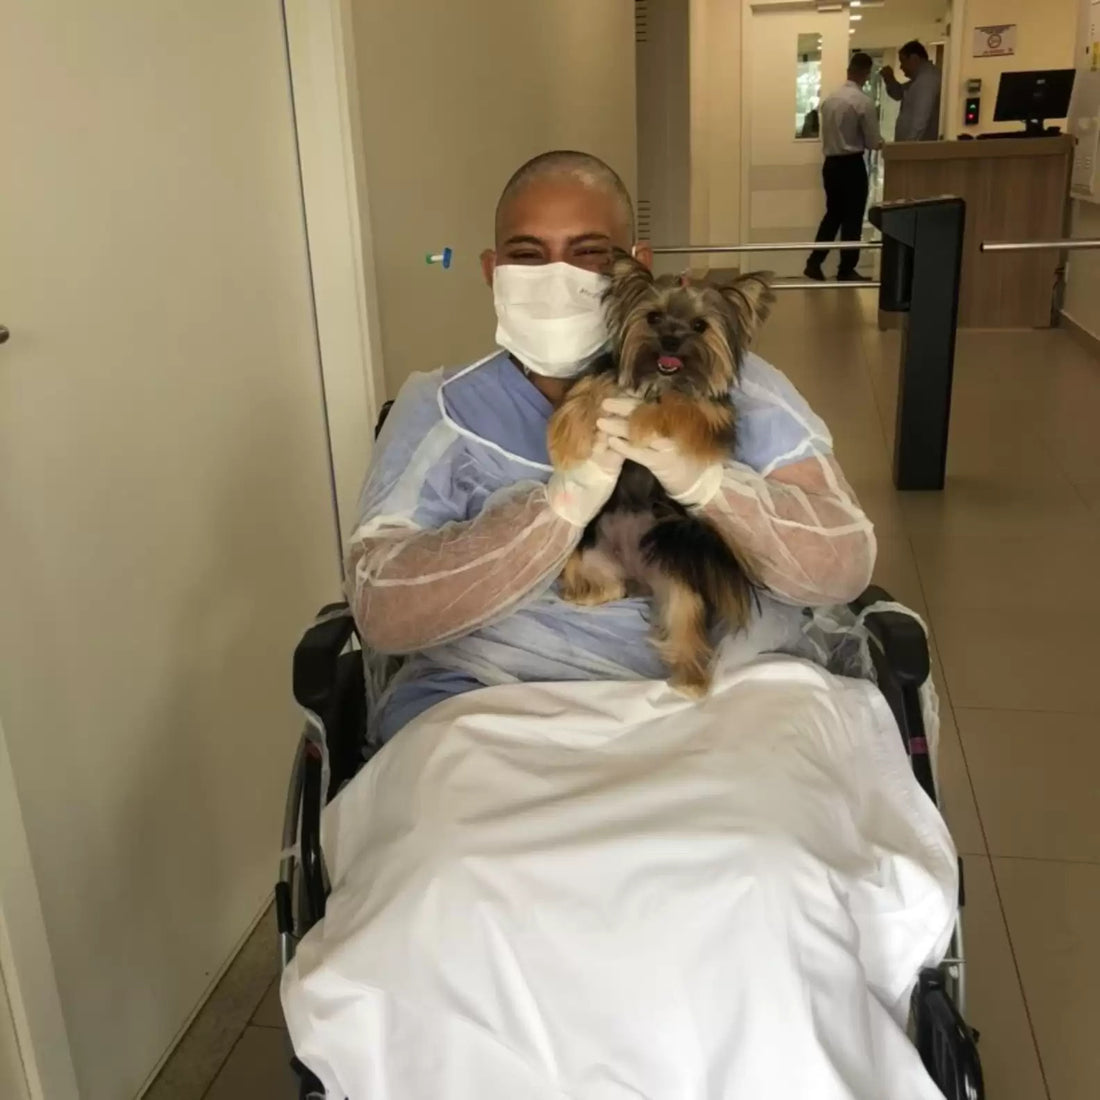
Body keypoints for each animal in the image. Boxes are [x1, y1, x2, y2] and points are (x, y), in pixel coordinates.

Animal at [547, 251, 774, 690]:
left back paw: (691, 680)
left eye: (700, 326)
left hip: (680, 575)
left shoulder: (711, 418)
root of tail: (638, 573)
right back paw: (584, 594)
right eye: (652, 317)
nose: (670, 340)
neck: (659, 378)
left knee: (684, 624)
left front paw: (640, 423)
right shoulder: (611, 376)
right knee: (606, 585)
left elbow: (682, 406)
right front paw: (567, 434)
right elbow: (593, 388)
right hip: (586, 553)